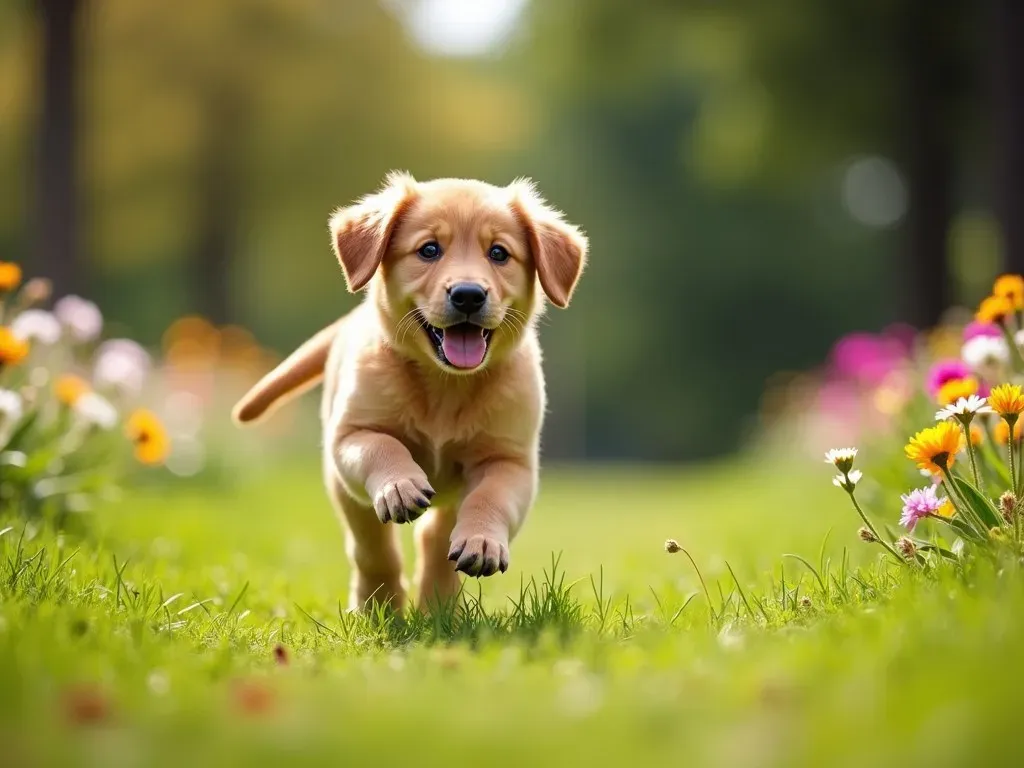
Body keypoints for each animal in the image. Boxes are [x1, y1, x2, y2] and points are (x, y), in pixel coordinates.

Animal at [229, 174, 589, 614]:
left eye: (499, 253)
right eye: (429, 250)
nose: (468, 294)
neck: (445, 384)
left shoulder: (510, 461)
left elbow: (490, 498)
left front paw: (482, 541)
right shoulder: (351, 434)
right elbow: (384, 447)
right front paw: (400, 486)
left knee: (434, 538)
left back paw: (440, 605)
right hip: (344, 489)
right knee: (371, 544)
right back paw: (378, 605)